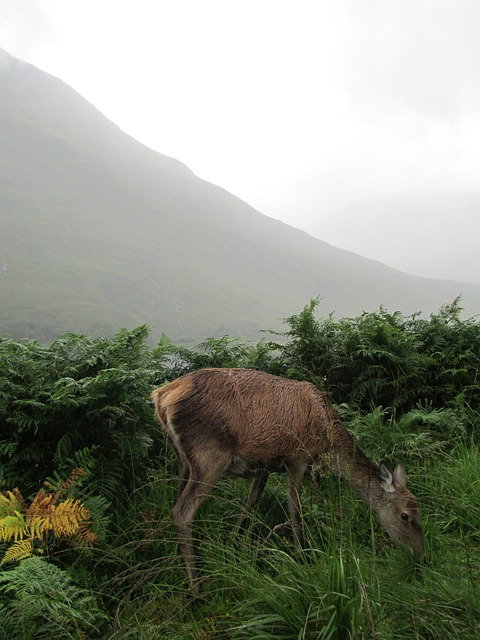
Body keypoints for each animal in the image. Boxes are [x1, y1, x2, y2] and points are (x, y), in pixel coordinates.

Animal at [152, 368, 426, 596]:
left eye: (418, 511)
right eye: (405, 516)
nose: (420, 556)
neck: (327, 439)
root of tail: (161, 398)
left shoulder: (264, 466)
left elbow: (250, 503)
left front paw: (235, 543)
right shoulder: (297, 459)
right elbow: (295, 511)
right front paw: (302, 556)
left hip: (184, 462)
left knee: (175, 502)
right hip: (209, 457)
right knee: (181, 511)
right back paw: (197, 589)